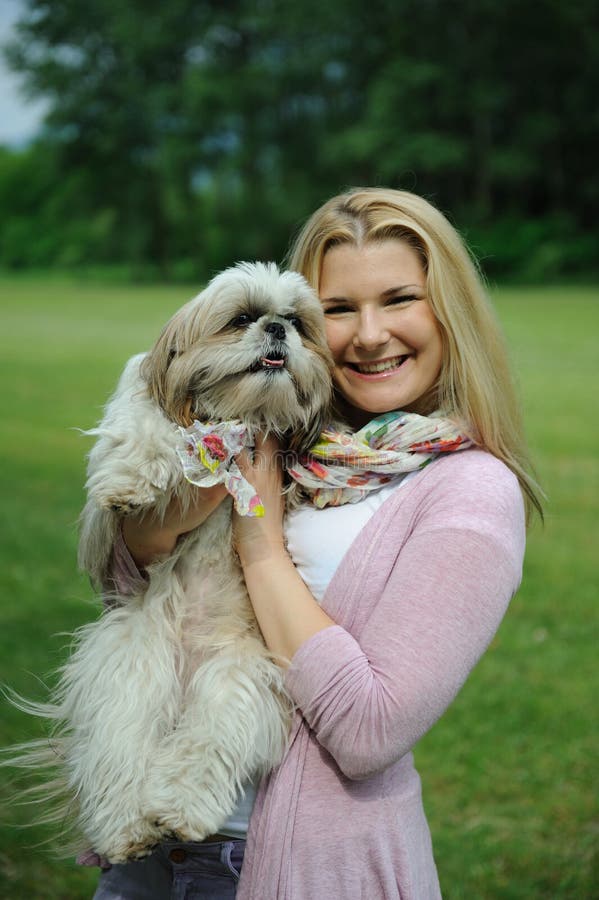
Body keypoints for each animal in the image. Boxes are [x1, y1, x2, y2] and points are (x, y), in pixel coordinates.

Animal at [11, 262, 336, 864]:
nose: (278, 329)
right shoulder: (143, 404)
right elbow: (148, 426)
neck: (239, 417)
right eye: (242, 318)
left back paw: (178, 811)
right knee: (119, 750)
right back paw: (125, 827)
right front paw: (134, 475)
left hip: (240, 679)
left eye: (299, 322)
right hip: (129, 670)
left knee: (208, 744)